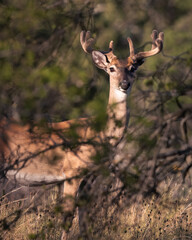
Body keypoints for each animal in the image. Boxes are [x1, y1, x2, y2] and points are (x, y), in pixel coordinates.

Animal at [0, 29, 164, 239]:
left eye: (133, 67)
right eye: (111, 68)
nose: (124, 84)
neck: (98, 134)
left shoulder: (90, 178)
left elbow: (84, 219)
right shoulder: (72, 172)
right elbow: (68, 217)